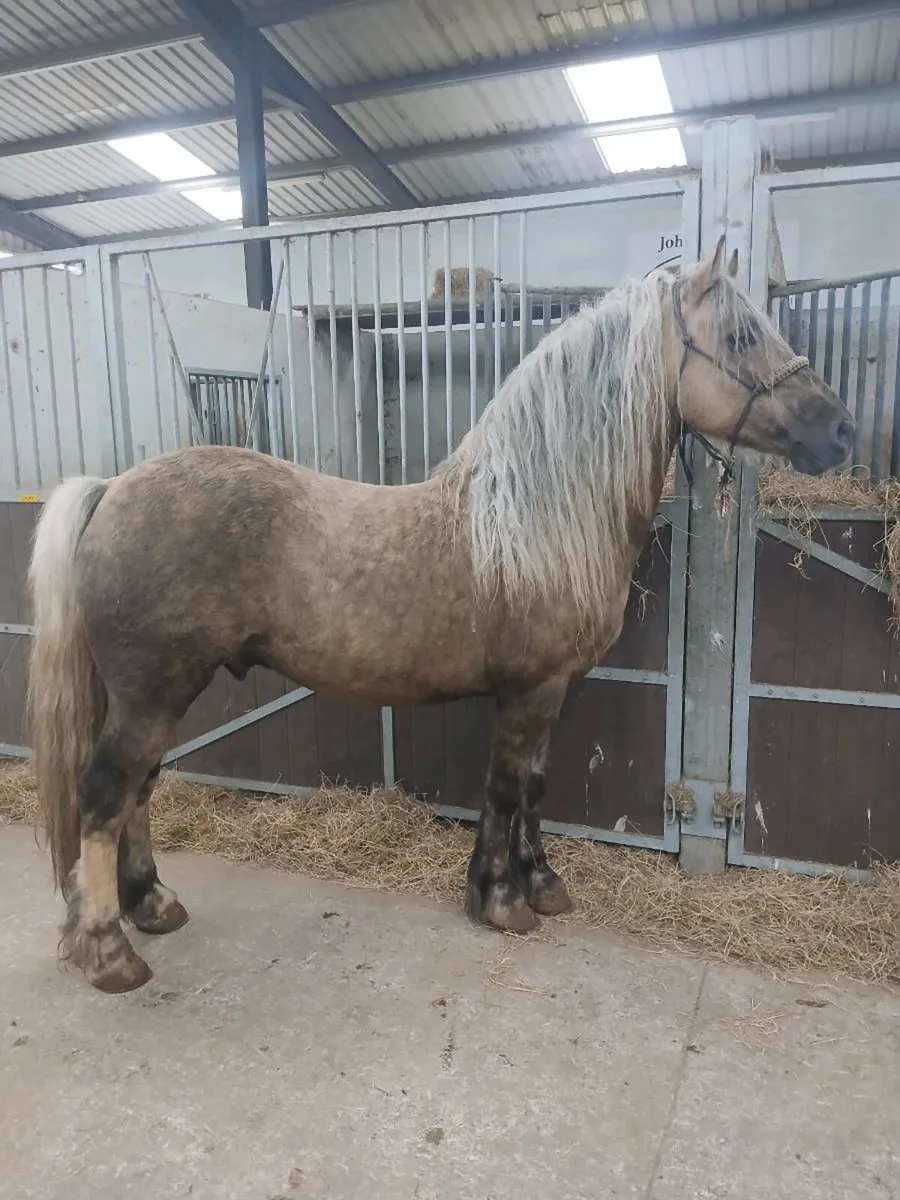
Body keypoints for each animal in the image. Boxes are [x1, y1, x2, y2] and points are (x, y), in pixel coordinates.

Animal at [26, 235, 853, 993]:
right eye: (742, 336)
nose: (840, 429)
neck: (530, 520)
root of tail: (112, 488)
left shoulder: (555, 690)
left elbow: (534, 787)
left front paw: (539, 885)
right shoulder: (530, 690)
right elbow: (506, 788)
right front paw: (502, 898)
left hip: (155, 697)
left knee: (137, 790)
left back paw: (152, 905)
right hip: (153, 694)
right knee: (104, 794)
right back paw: (110, 952)